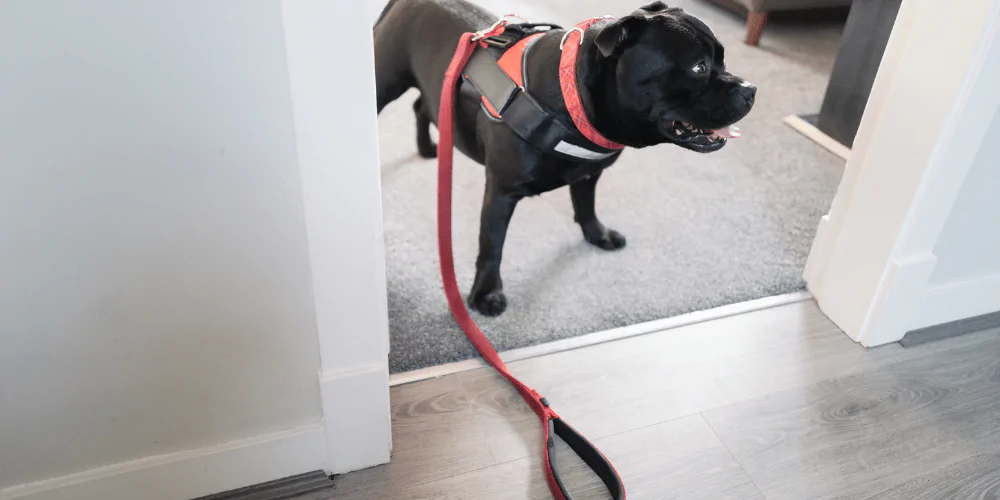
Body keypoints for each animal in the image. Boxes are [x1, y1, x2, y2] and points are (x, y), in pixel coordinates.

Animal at [376, 0, 752, 316]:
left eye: (722, 60)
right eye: (698, 67)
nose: (750, 89)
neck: (575, 102)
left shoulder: (589, 171)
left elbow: (586, 205)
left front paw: (597, 235)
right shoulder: (501, 191)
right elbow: (492, 244)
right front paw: (486, 294)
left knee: (422, 105)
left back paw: (428, 147)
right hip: (385, 82)